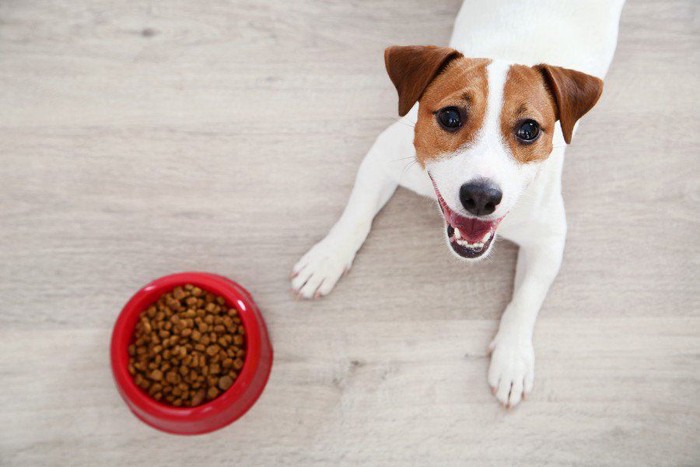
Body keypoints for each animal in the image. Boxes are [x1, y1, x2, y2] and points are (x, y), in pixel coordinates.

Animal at [288, 0, 624, 408]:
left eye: (529, 129)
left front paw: (512, 357)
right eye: (450, 116)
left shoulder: (549, 240)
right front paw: (327, 259)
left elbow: (527, 299)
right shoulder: (384, 156)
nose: (481, 196)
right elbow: (356, 215)